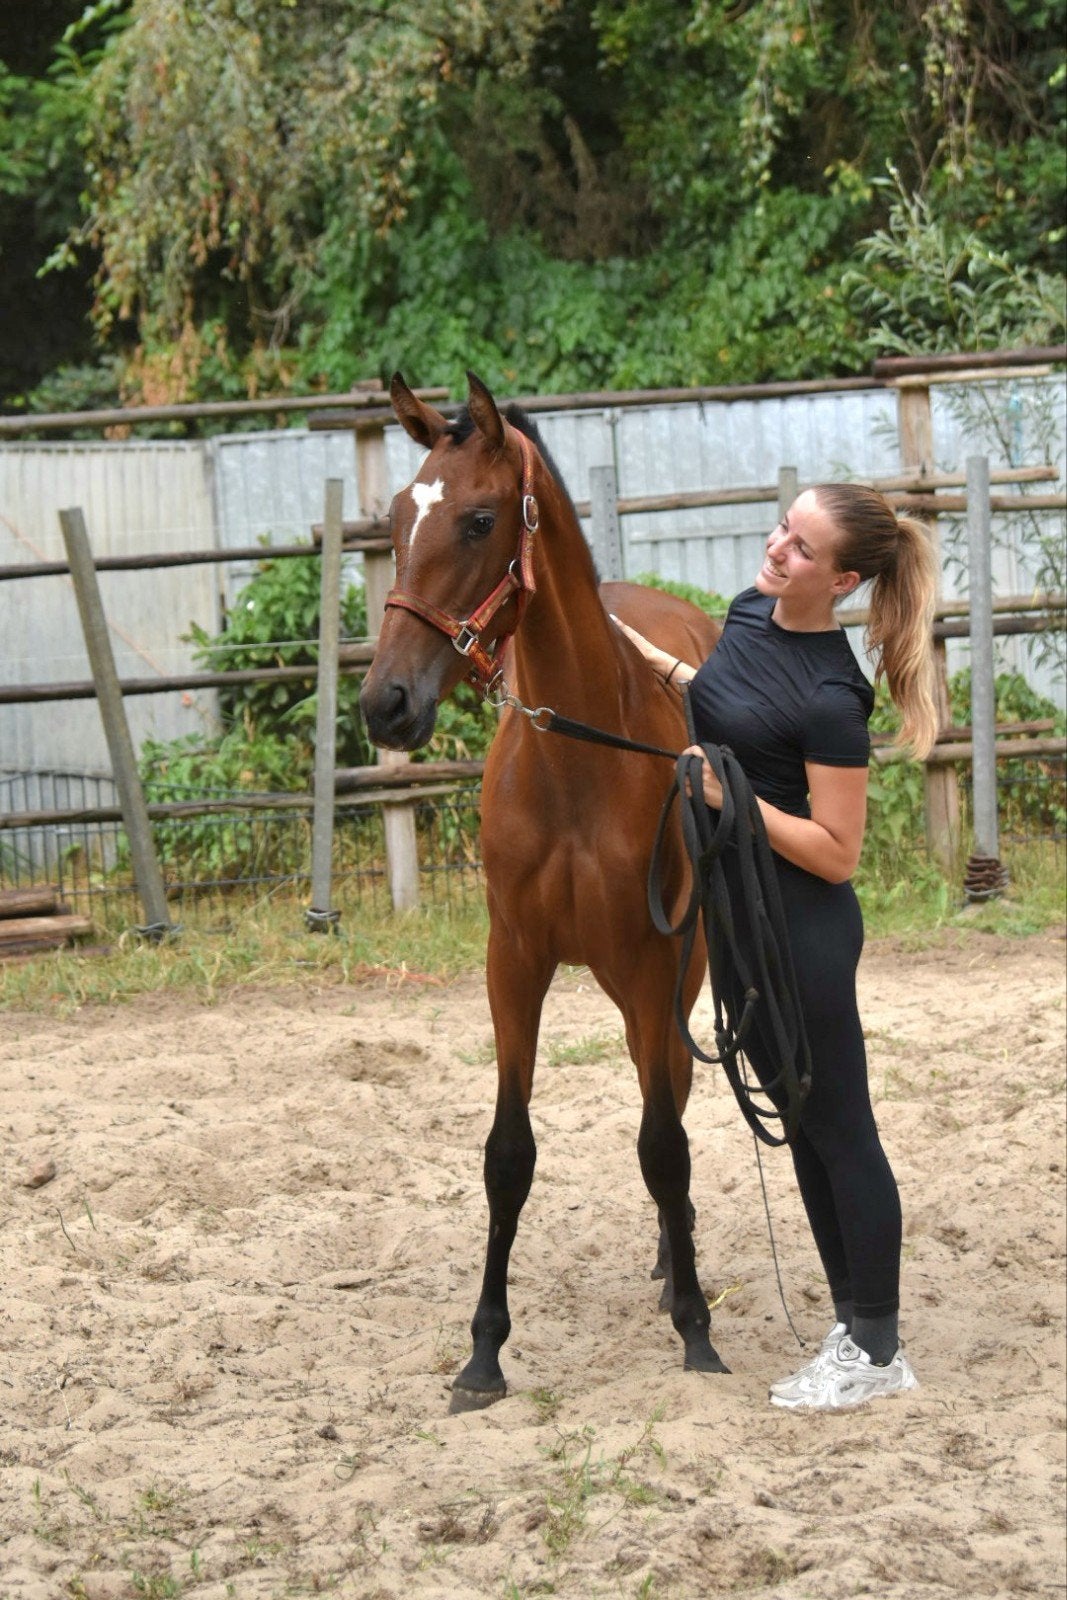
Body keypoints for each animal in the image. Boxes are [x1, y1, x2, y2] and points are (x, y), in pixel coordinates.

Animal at [360, 371, 726, 1409]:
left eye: (480, 520)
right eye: (396, 517)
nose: (384, 704)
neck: (575, 765)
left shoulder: (649, 965)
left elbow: (662, 1144)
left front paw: (696, 1328)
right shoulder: (512, 964)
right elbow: (506, 1155)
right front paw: (483, 1351)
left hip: (681, 973)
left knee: (672, 1094)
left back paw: (675, 1267)